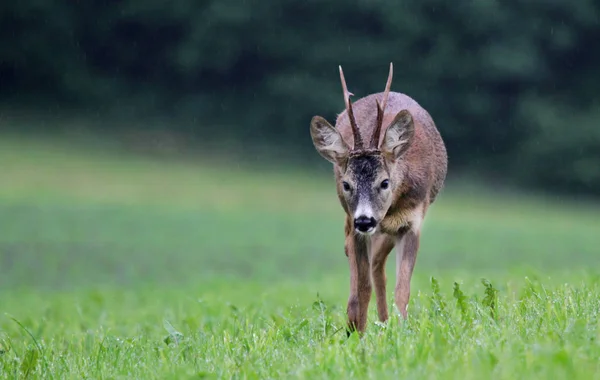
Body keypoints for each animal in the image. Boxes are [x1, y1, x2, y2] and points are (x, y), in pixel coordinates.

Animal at [310, 63, 446, 334]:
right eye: (346, 184)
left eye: (384, 182)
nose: (365, 220)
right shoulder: (358, 226)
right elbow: (363, 288)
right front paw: (357, 333)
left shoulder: (412, 222)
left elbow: (402, 289)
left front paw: (401, 329)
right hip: (354, 221)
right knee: (363, 262)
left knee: (378, 266)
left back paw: (384, 322)